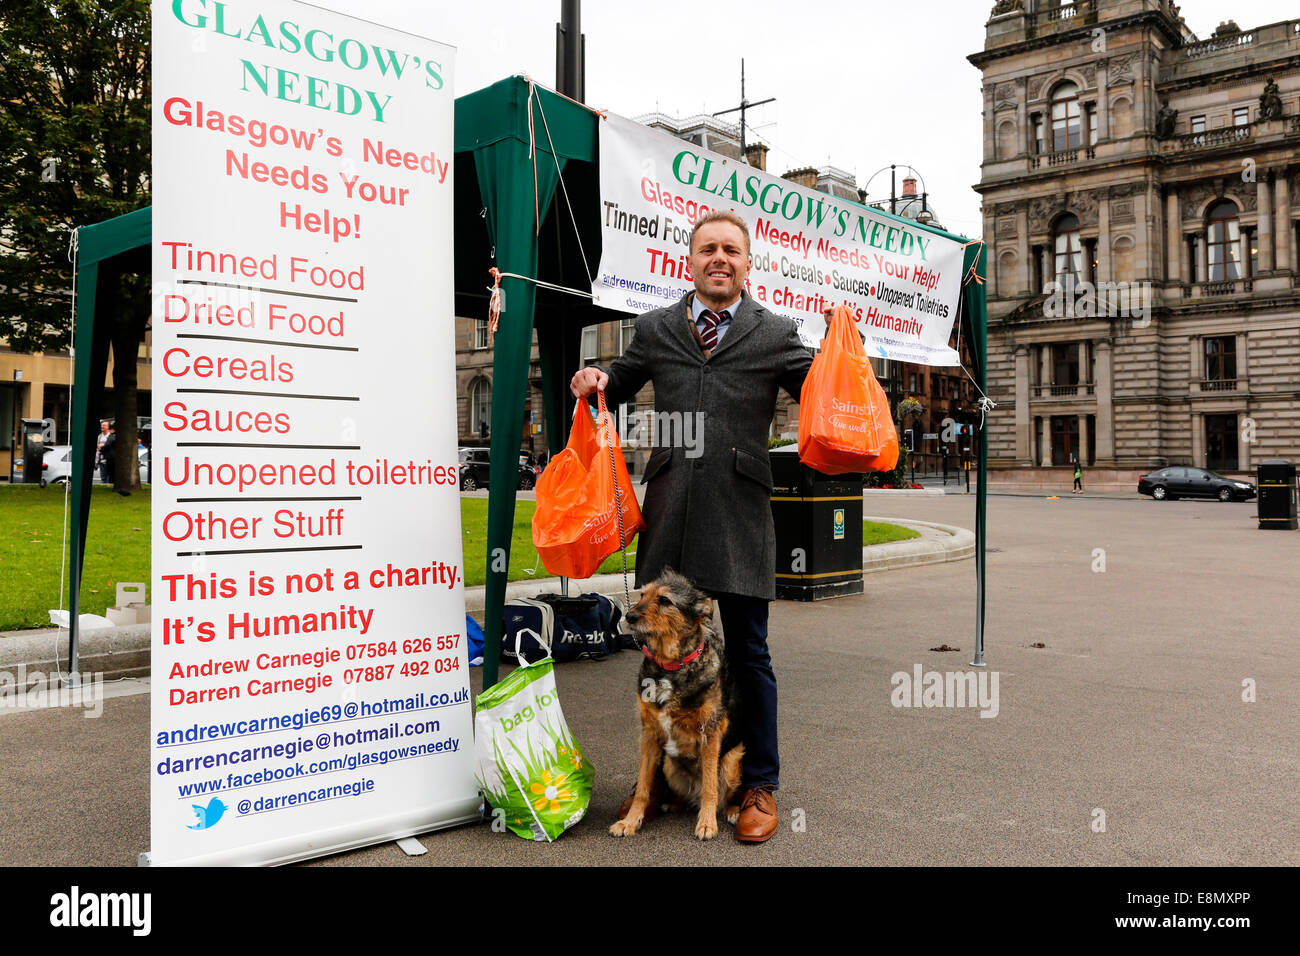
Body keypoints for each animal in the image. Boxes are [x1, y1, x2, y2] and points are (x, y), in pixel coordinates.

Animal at [605, 572, 743, 842]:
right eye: (642, 594)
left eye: (665, 600)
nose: (630, 616)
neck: (670, 666)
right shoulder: (649, 735)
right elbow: (643, 787)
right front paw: (630, 821)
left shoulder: (710, 734)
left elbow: (710, 787)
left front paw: (707, 824)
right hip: (669, 765)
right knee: (687, 796)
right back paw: (673, 803)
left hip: (732, 761)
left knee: (721, 794)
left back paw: (732, 811)